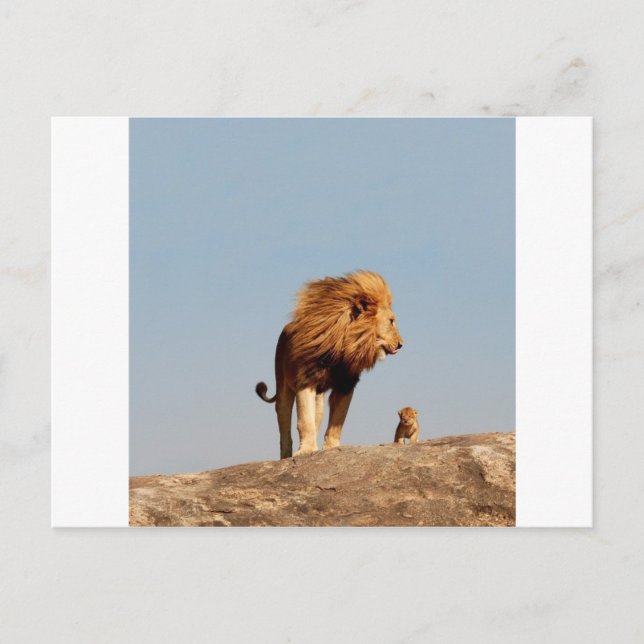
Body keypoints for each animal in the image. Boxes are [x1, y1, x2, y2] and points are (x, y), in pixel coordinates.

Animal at [256, 270, 403, 459]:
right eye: (391, 321)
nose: (401, 344)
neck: (343, 345)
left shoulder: (346, 384)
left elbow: (337, 421)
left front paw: (331, 448)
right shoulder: (305, 380)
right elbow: (304, 420)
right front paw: (306, 450)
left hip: (319, 399)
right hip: (283, 388)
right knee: (284, 424)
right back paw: (286, 456)